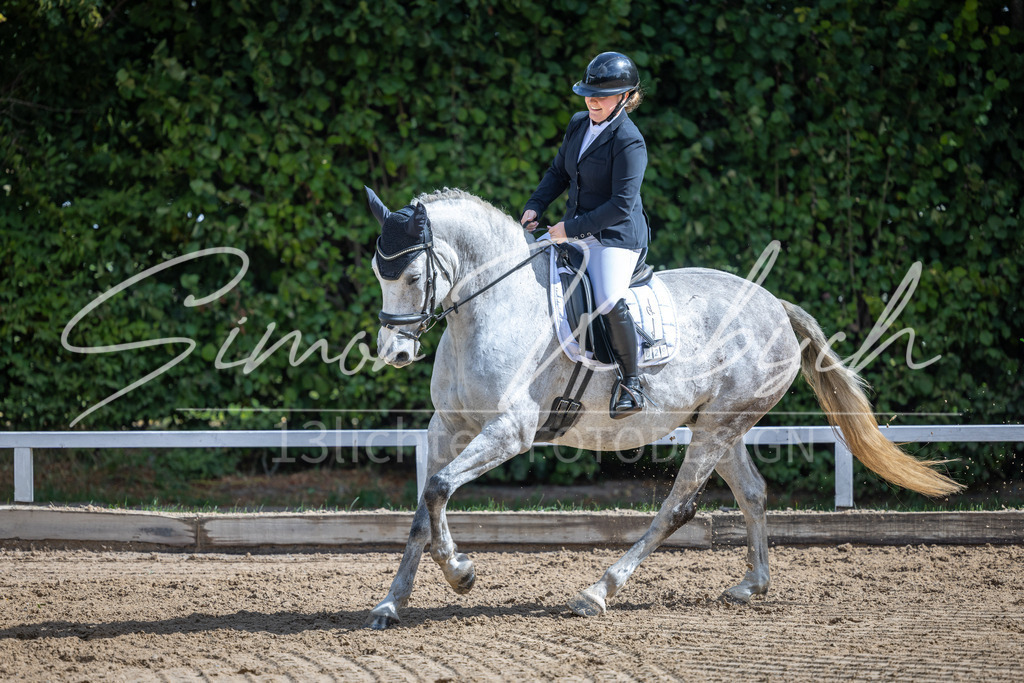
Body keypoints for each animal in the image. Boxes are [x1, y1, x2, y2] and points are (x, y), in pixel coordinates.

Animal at [364, 187, 960, 630]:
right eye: (378, 273)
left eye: (412, 277)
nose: (394, 352)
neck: (494, 307)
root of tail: (774, 305)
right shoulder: (448, 428)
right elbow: (424, 503)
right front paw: (392, 602)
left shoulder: (510, 432)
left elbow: (439, 488)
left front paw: (461, 572)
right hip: (721, 425)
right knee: (752, 492)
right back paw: (752, 585)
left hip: (717, 428)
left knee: (679, 506)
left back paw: (598, 591)